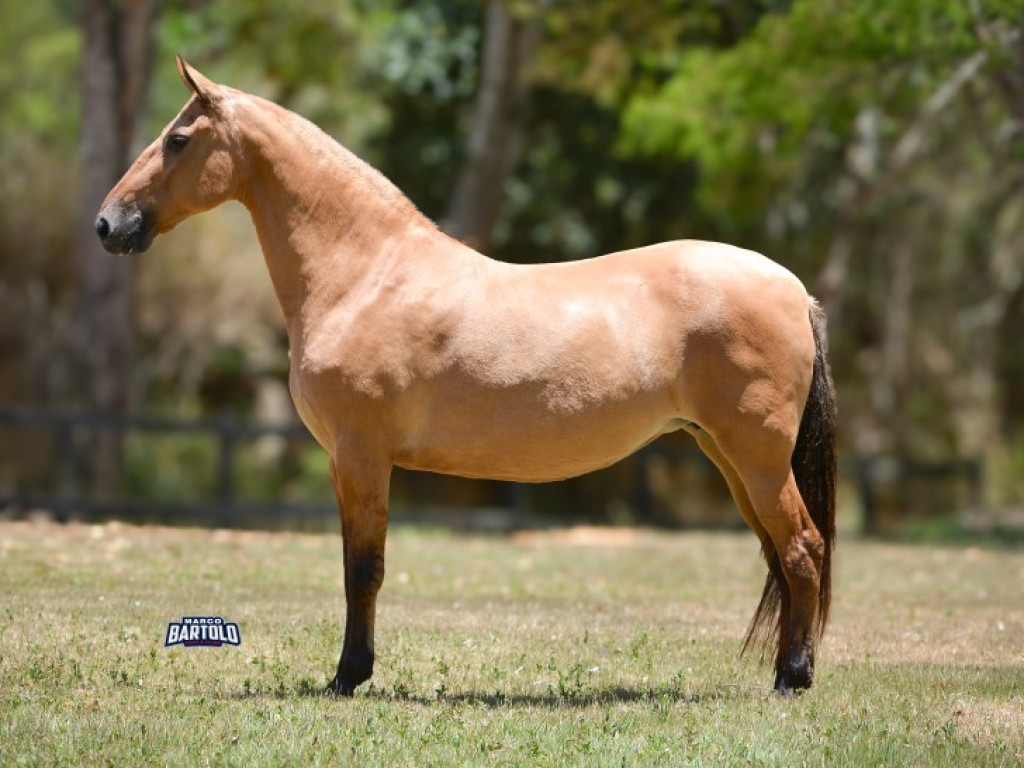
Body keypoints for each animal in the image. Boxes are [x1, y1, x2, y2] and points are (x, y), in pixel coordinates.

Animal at [97, 56, 837, 697]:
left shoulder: (360, 456)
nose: (109, 224)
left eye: (178, 139)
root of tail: (795, 289)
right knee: (780, 553)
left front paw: (347, 678)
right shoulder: (346, 461)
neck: (366, 274)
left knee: (801, 548)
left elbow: (363, 570)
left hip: (757, 457)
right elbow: (356, 566)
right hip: (729, 456)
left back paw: (792, 680)